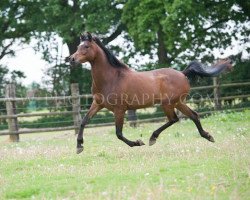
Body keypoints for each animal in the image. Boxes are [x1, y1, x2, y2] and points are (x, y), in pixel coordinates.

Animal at [69, 32, 232, 154]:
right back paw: (208, 136)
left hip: (168, 104)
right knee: (193, 115)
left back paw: (152, 138)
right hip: (178, 102)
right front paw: (79, 146)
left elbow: (118, 133)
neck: (112, 78)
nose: (71, 59)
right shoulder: (98, 104)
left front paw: (137, 142)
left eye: (86, 46)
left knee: (174, 119)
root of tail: (182, 73)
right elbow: (84, 121)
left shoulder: (119, 109)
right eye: (78, 46)